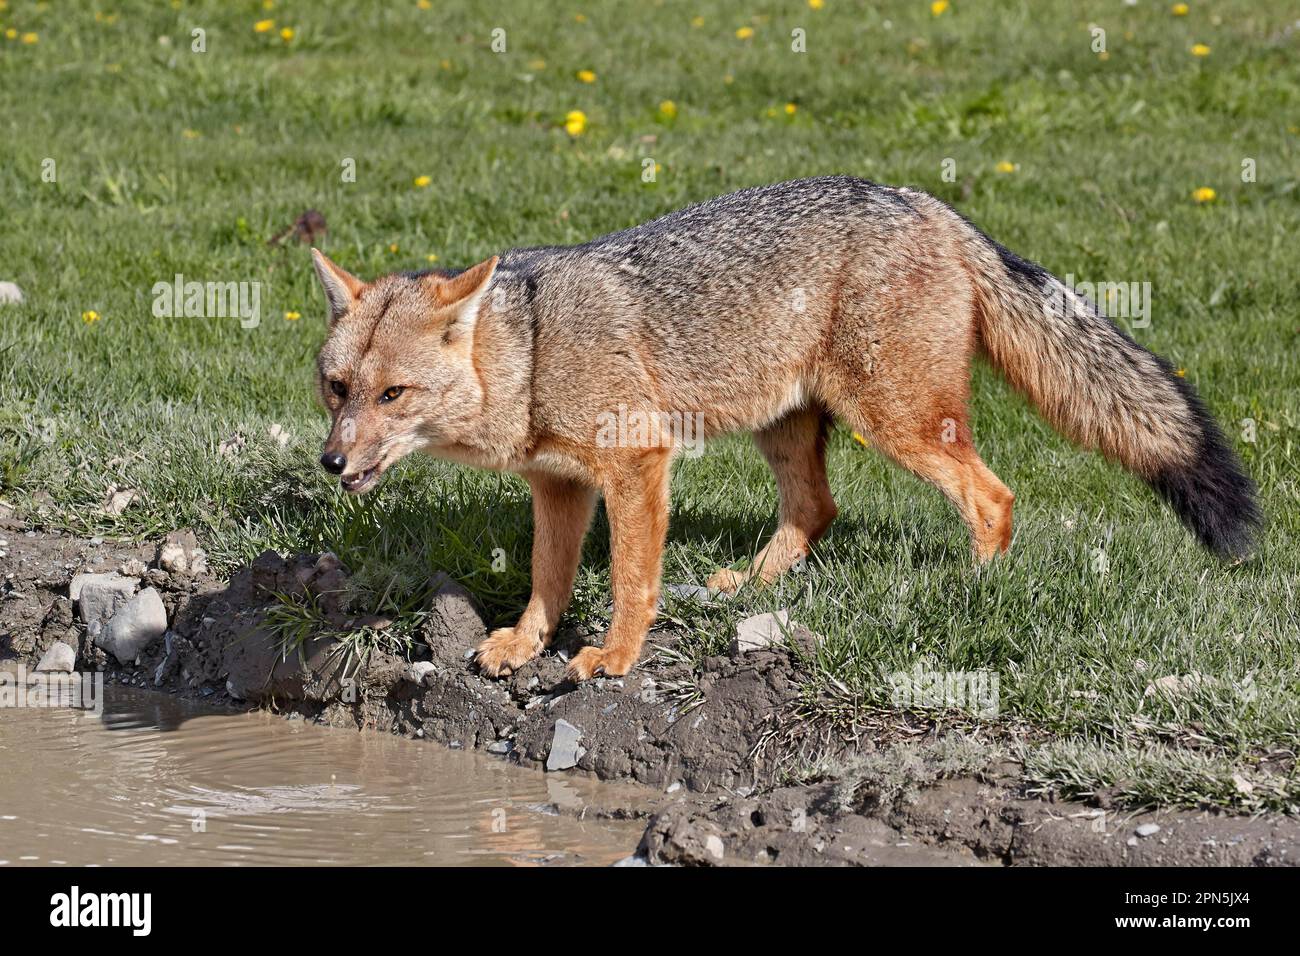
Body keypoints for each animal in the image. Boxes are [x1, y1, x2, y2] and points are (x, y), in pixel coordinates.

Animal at [310, 175, 1260, 681]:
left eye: (393, 395)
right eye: (336, 389)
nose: (331, 463)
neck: (533, 354)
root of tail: (925, 201)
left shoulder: (637, 464)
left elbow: (630, 582)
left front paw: (615, 656)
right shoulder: (561, 485)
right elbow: (548, 581)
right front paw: (522, 642)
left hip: (900, 425)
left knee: (994, 498)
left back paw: (975, 588)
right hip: (788, 426)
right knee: (815, 512)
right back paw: (750, 590)